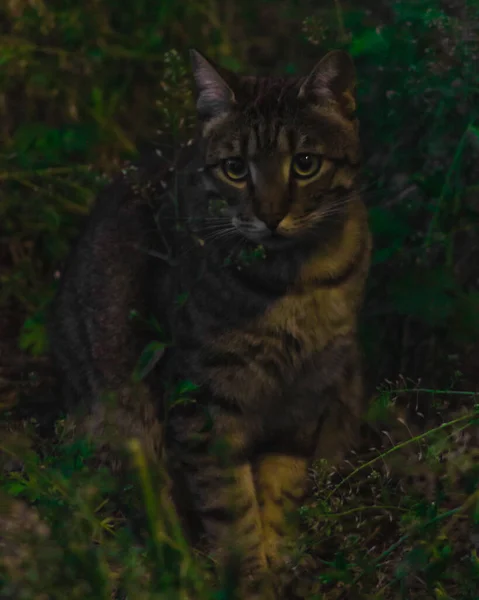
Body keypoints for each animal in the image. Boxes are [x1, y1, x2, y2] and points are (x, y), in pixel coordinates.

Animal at [49, 48, 372, 600]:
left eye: (305, 164)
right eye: (235, 169)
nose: (271, 216)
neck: (297, 283)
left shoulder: (305, 400)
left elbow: (281, 493)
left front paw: (284, 565)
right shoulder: (203, 407)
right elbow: (232, 510)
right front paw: (252, 581)